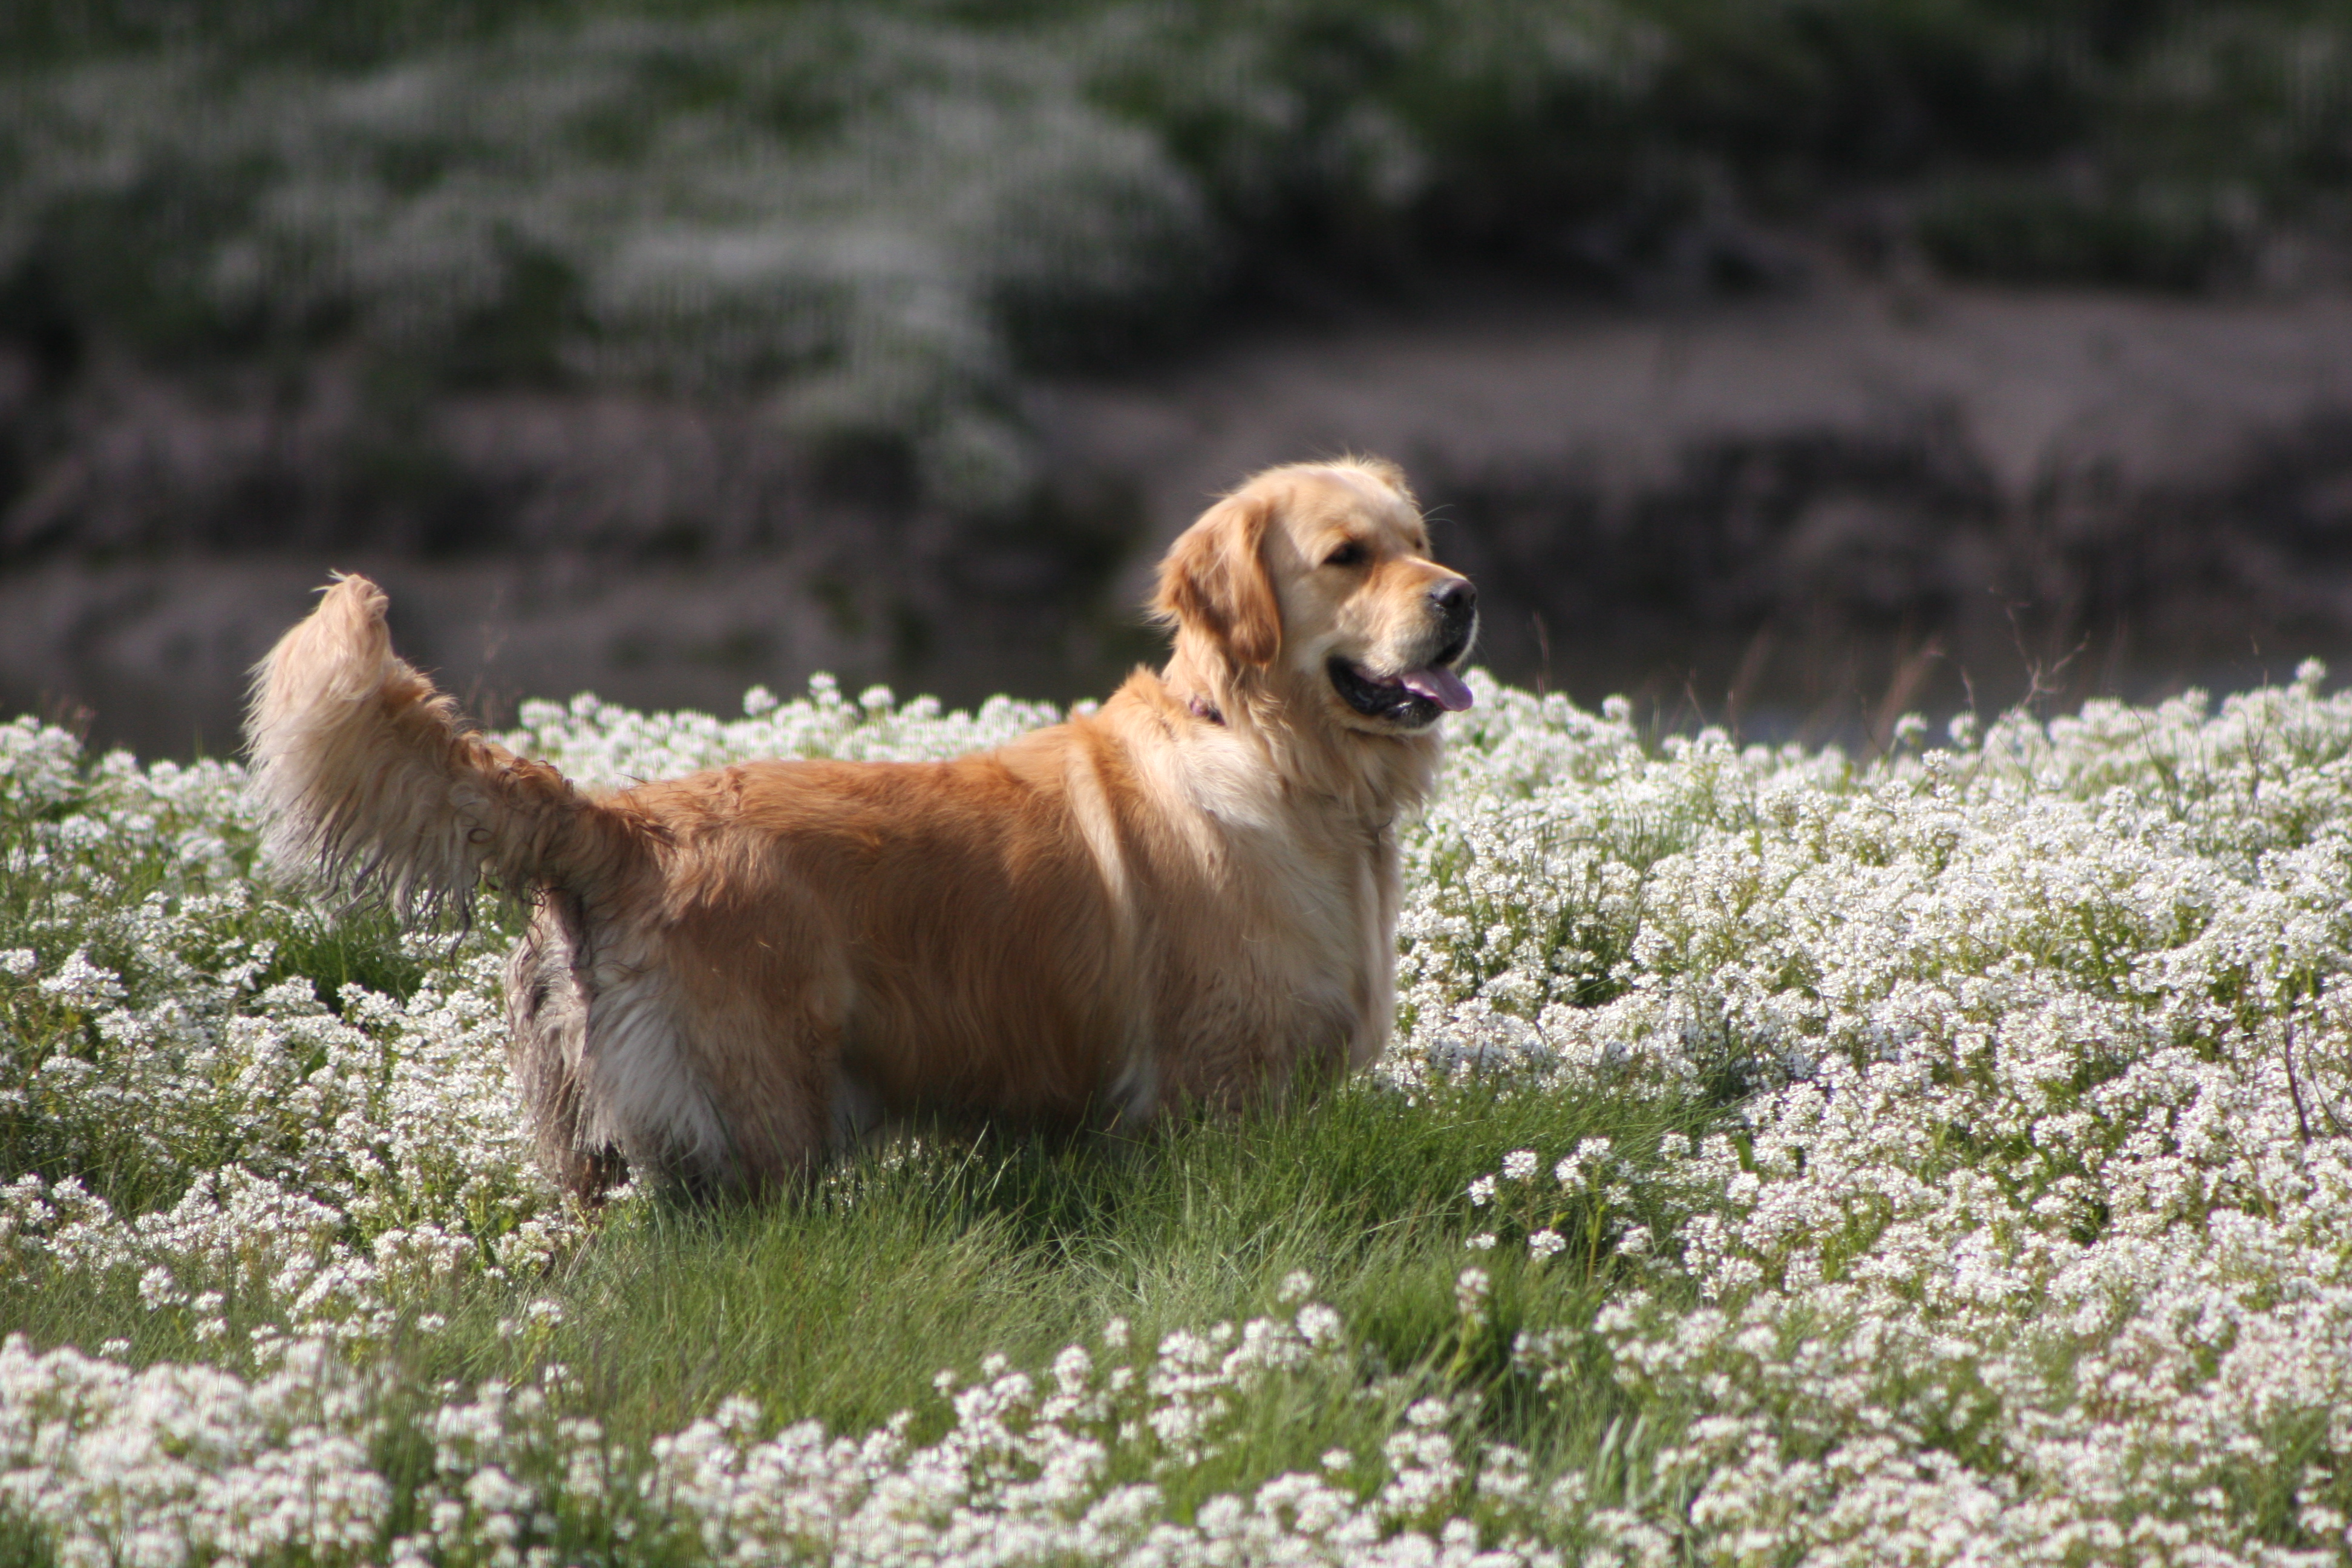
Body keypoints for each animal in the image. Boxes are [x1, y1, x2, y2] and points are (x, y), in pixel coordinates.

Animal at [248, 460, 1477, 1194]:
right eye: (1346, 556)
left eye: (1419, 539)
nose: (1461, 595)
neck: (1278, 757)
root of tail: (622, 822)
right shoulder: (1215, 1094)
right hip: (756, 1136)